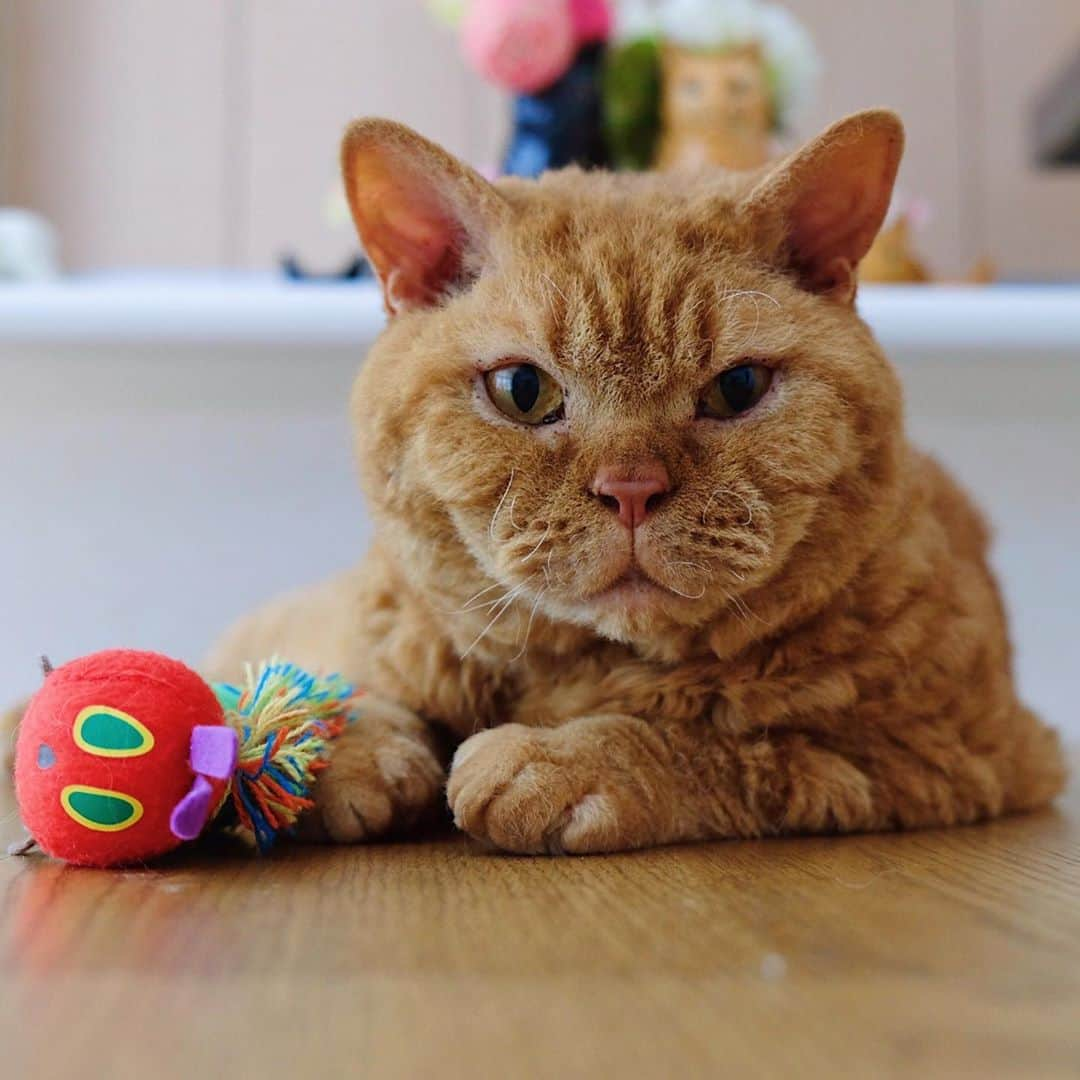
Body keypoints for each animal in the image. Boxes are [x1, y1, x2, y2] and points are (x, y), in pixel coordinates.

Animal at [8, 109, 1058, 851]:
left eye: (738, 389)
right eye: (523, 391)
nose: (631, 488)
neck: (568, 664)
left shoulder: (945, 751)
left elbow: (734, 745)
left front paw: (562, 760)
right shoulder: (366, 626)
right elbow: (338, 680)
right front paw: (345, 745)